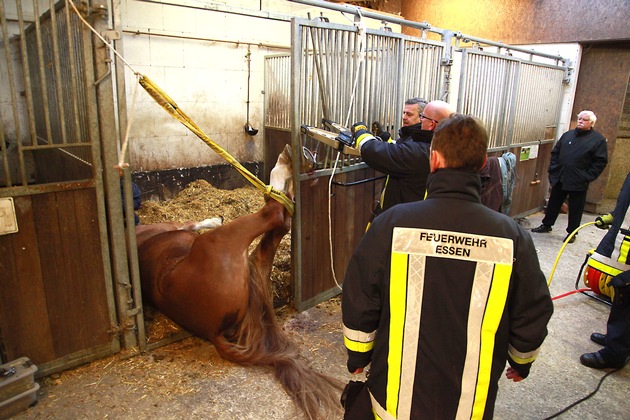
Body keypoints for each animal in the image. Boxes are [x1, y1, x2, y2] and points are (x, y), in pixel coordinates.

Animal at [135, 145, 344, 420]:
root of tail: (212, 333)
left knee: (279, 223)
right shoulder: (175, 224)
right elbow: (190, 222)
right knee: (275, 215)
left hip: (253, 268)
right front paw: (214, 219)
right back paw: (288, 165)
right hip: (223, 241)